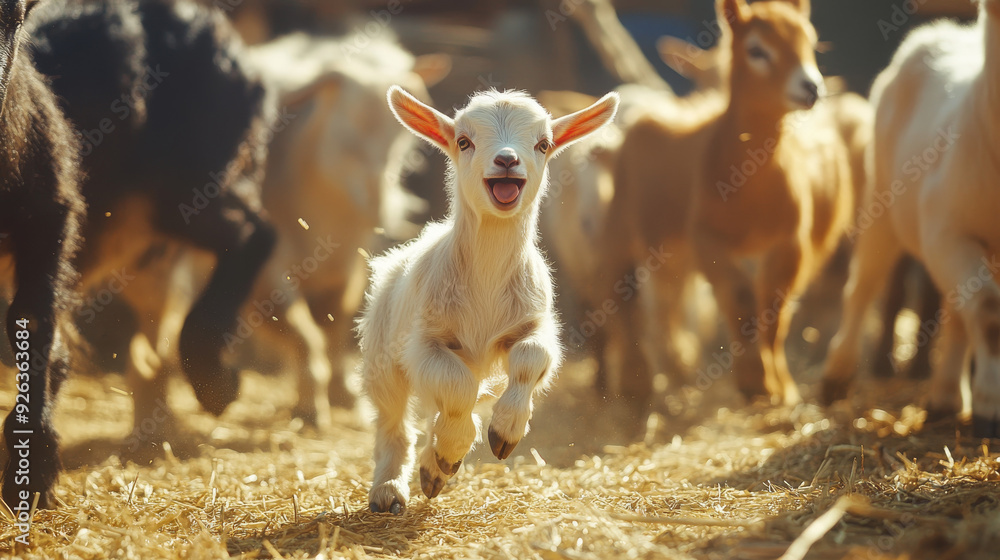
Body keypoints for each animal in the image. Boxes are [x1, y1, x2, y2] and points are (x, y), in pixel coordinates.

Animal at [360, 87, 618, 514]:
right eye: (464, 141)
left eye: (543, 144)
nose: (507, 160)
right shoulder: (425, 341)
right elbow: (457, 387)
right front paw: (451, 451)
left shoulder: (533, 322)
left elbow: (532, 358)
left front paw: (503, 432)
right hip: (382, 356)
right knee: (393, 420)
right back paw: (390, 489)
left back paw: (432, 469)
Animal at [822, 0, 1000, 438]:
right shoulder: (948, 231)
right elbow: (989, 314)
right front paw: (990, 408)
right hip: (883, 205)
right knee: (863, 286)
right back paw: (837, 376)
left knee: (956, 312)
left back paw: (945, 397)